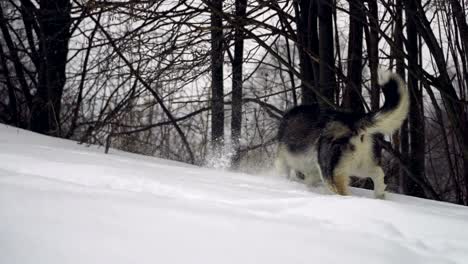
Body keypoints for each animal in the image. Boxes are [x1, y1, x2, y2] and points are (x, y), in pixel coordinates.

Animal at [276, 71, 408, 199]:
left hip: (330, 172)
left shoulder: (283, 161)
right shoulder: (312, 172)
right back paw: (379, 196)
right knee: (378, 174)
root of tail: (351, 120)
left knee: (343, 193)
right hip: (358, 166)